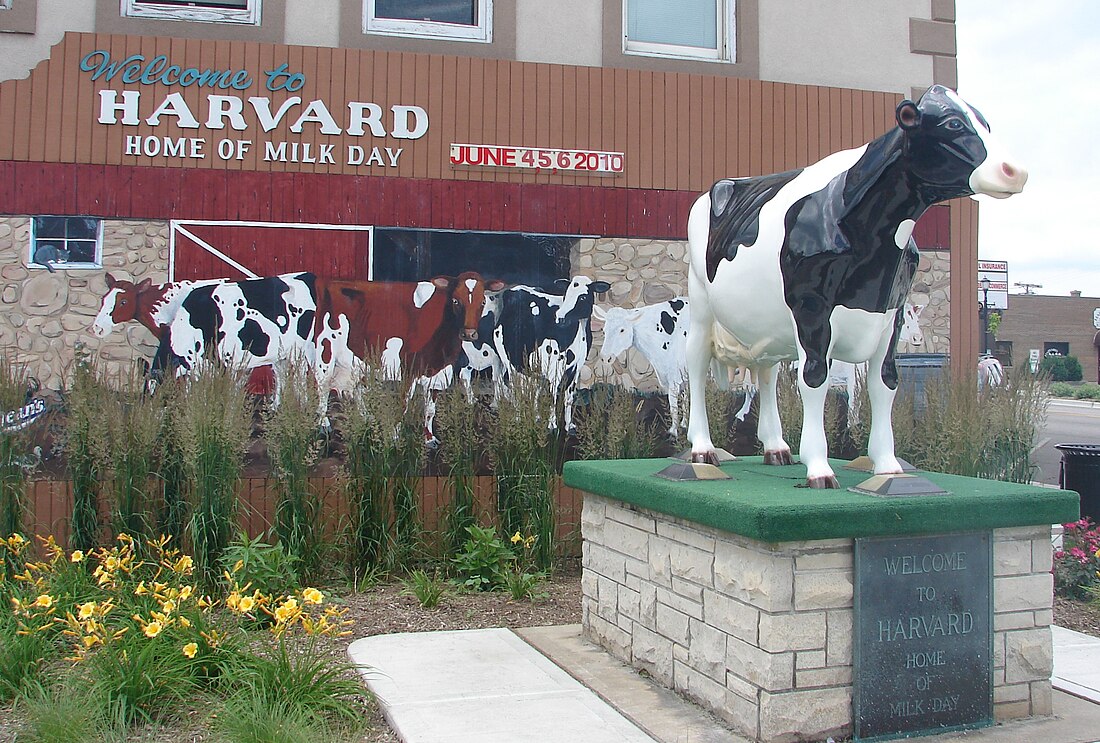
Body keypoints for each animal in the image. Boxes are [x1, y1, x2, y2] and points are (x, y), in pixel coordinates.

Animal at [150, 272, 316, 405]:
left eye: (156, 392)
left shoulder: (223, 363)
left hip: (298, 351)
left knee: (300, 376)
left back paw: (303, 406)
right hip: (280, 354)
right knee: (281, 376)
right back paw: (276, 407)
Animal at [682, 85, 1025, 488]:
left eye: (986, 123)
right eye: (953, 123)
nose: (1016, 171)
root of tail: (723, 185)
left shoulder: (892, 311)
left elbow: (885, 382)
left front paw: (887, 464)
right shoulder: (812, 307)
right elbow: (814, 380)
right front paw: (819, 466)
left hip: (764, 324)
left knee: (766, 376)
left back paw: (776, 448)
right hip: (701, 306)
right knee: (696, 366)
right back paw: (702, 449)